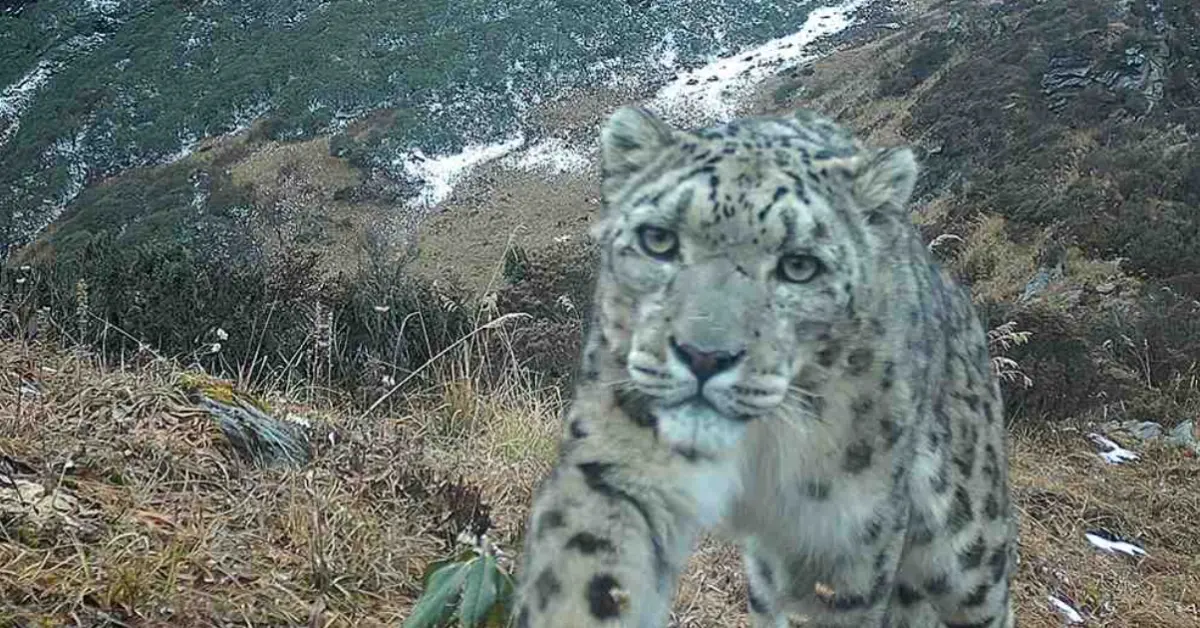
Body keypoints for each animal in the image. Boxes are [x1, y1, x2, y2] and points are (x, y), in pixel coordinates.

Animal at [511, 105, 1017, 628]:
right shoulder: (619, 460)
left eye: (799, 266)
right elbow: (590, 570)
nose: (703, 355)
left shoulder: (844, 535)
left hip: (969, 546)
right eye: (658, 239)